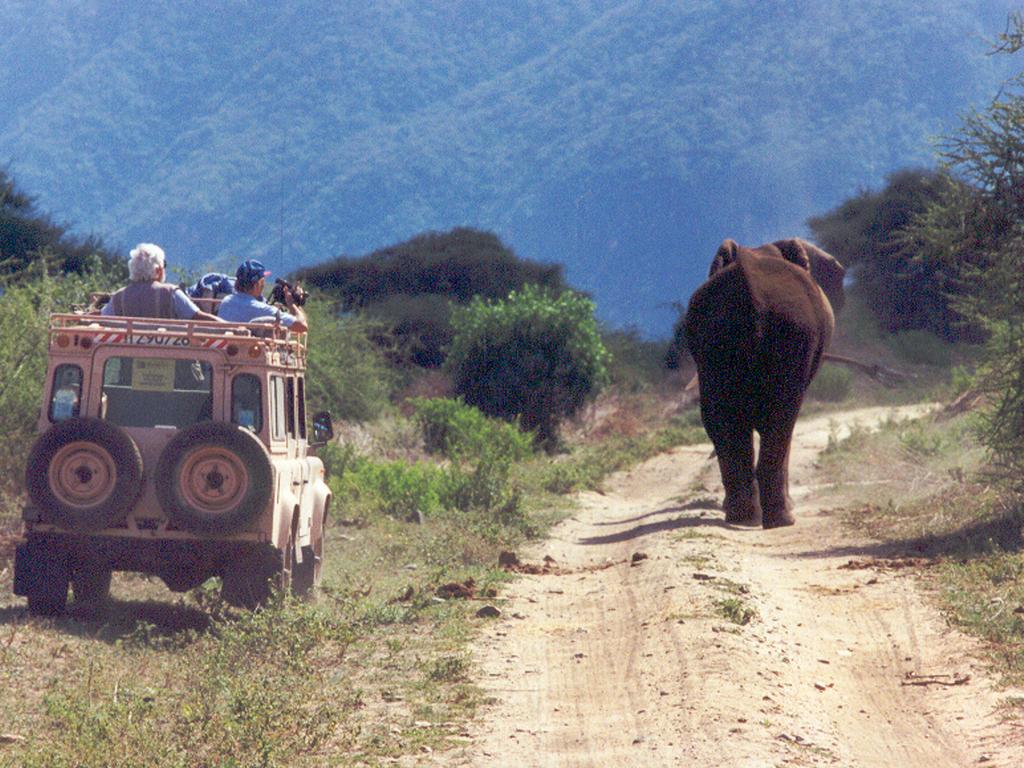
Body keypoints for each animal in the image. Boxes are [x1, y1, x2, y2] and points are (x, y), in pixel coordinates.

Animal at [684, 240, 843, 528]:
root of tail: (750, 289)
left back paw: (744, 517)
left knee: (720, 419)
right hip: (792, 333)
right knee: (781, 419)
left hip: (715, 340)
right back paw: (779, 518)